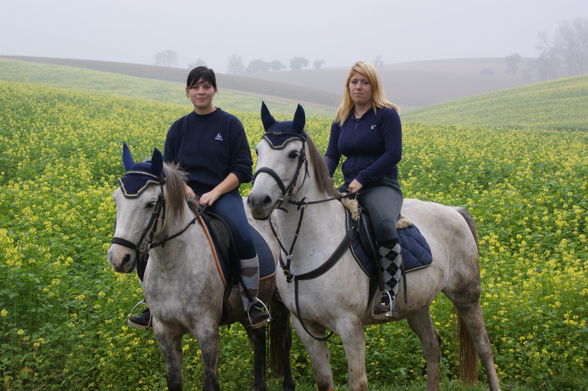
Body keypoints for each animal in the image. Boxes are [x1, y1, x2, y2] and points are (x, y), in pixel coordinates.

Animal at [108, 145, 294, 391]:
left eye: (150, 203)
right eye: (117, 199)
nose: (118, 258)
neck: (173, 268)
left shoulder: (207, 333)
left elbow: (210, 382)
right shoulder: (165, 333)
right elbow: (174, 382)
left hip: (280, 300)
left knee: (284, 340)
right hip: (247, 308)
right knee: (258, 340)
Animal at [248, 104, 500, 391]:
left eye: (292, 154)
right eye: (258, 150)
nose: (258, 201)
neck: (308, 248)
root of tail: (454, 211)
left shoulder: (350, 326)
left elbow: (358, 382)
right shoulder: (307, 327)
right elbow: (324, 381)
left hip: (466, 295)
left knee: (484, 347)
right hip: (417, 304)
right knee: (432, 346)